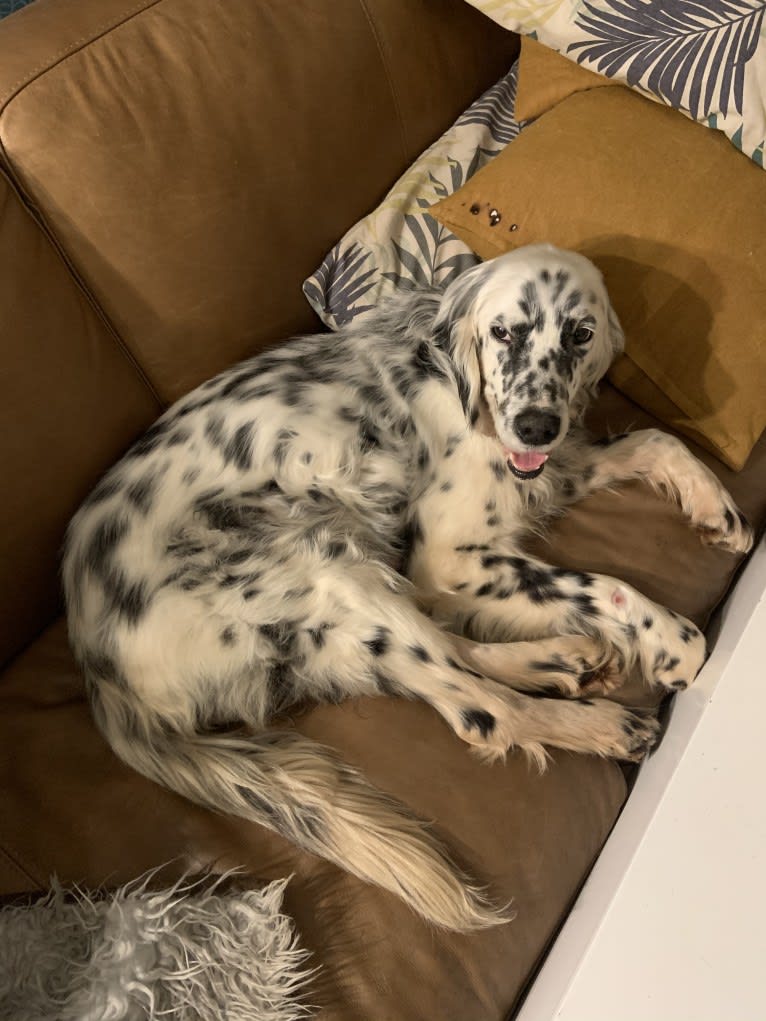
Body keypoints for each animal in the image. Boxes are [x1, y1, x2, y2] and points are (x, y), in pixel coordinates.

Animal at [61, 242, 755, 931]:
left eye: (581, 335)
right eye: (504, 332)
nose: (535, 425)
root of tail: (101, 677)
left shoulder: (547, 471)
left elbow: (657, 439)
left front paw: (716, 508)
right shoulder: (450, 557)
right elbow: (607, 586)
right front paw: (674, 642)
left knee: (454, 651)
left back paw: (566, 659)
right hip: (323, 559)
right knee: (483, 710)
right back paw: (602, 723)